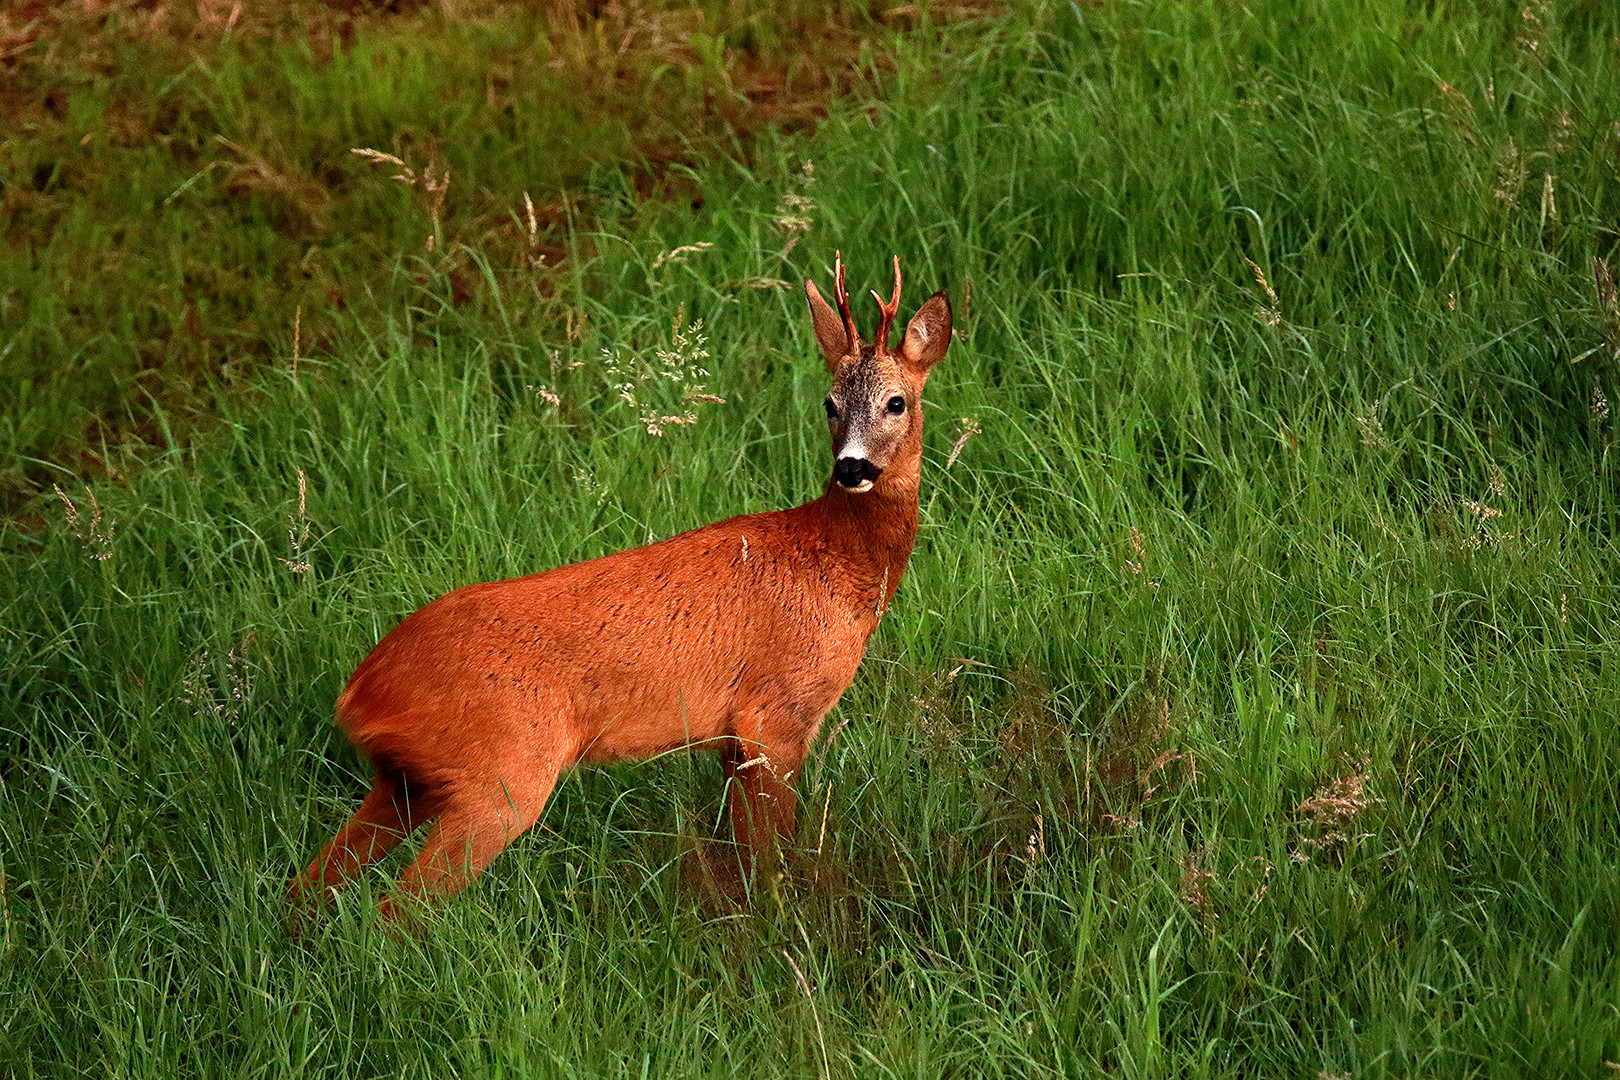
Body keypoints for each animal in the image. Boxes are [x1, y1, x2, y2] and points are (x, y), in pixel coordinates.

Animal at [291, 255, 946, 919]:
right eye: (829, 402)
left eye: (896, 402)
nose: (852, 467)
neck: (835, 565)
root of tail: (360, 693)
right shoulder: (775, 714)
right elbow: (770, 860)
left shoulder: (734, 740)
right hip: (500, 776)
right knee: (397, 910)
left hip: (406, 781)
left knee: (310, 886)